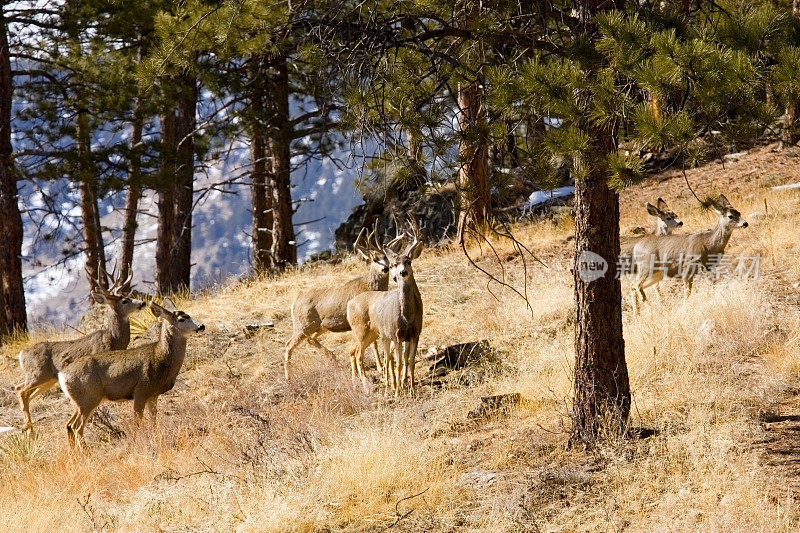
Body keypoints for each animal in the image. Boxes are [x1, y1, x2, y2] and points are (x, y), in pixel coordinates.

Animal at [15, 264, 144, 430]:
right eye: (124, 301)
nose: (142, 303)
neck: (114, 339)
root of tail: (21, 354)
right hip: (37, 373)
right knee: (20, 390)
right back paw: (28, 427)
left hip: (48, 379)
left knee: (26, 394)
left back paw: (29, 427)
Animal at [57, 302, 205, 446]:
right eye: (181, 319)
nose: (201, 326)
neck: (160, 359)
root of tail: (62, 375)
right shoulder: (140, 391)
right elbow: (137, 421)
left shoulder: (153, 395)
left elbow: (153, 420)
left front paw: (155, 437)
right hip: (88, 398)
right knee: (77, 427)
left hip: (79, 401)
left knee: (69, 425)